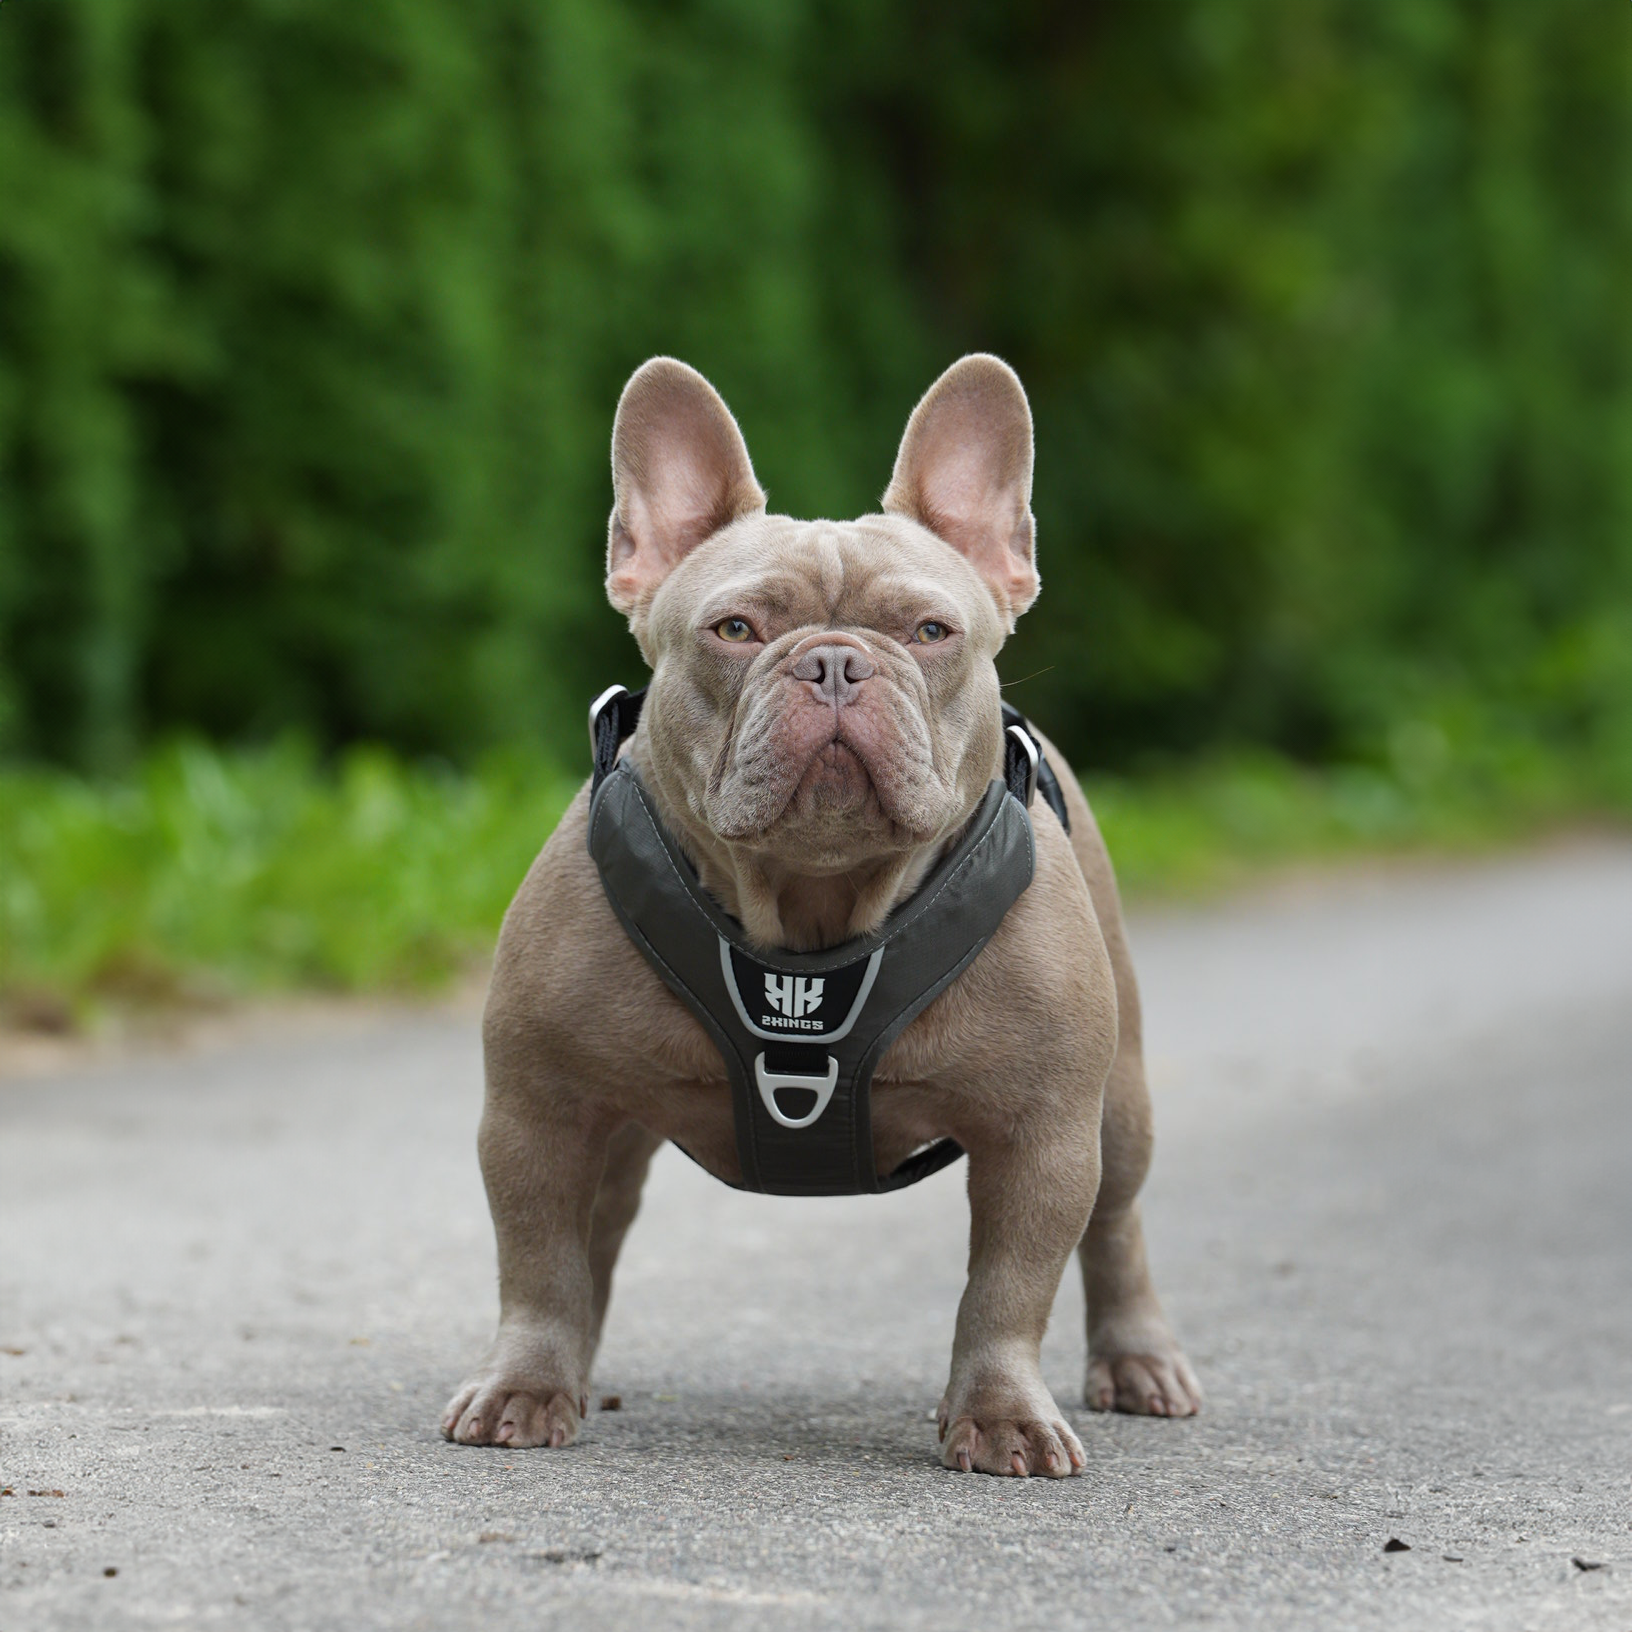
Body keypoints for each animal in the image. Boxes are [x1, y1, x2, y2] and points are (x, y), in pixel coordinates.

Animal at [443, 350, 1201, 1475]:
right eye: (735, 630)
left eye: (931, 633)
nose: (836, 659)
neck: (808, 911)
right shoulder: (541, 1108)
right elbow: (537, 1257)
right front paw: (527, 1382)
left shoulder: (1043, 1130)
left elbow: (1008, 1286)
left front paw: (1001, 1416)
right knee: (597, 1236)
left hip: (1121, 1104)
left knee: (1117, 1222)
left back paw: (1140, 1361)